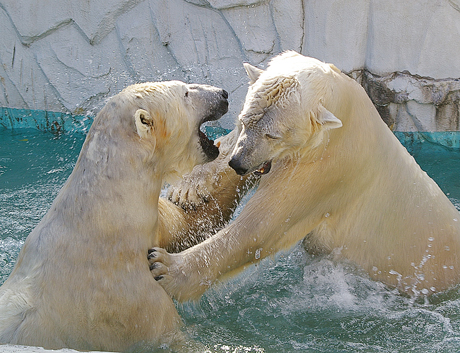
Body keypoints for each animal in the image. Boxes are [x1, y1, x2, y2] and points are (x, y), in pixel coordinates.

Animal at [0, 81, 230, 350]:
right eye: (185, 93)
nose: (224, 94)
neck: (106, 217)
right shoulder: (136, 302)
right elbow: (170, 334)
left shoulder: (154, 228)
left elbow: (187, 225)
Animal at [151, 51, 460, 300]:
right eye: (244, 120)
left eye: (273, 134)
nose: (239, 164)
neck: (343, 106)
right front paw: (189, 189)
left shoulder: (328, 168)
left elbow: (263, 225)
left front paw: (165, 268)